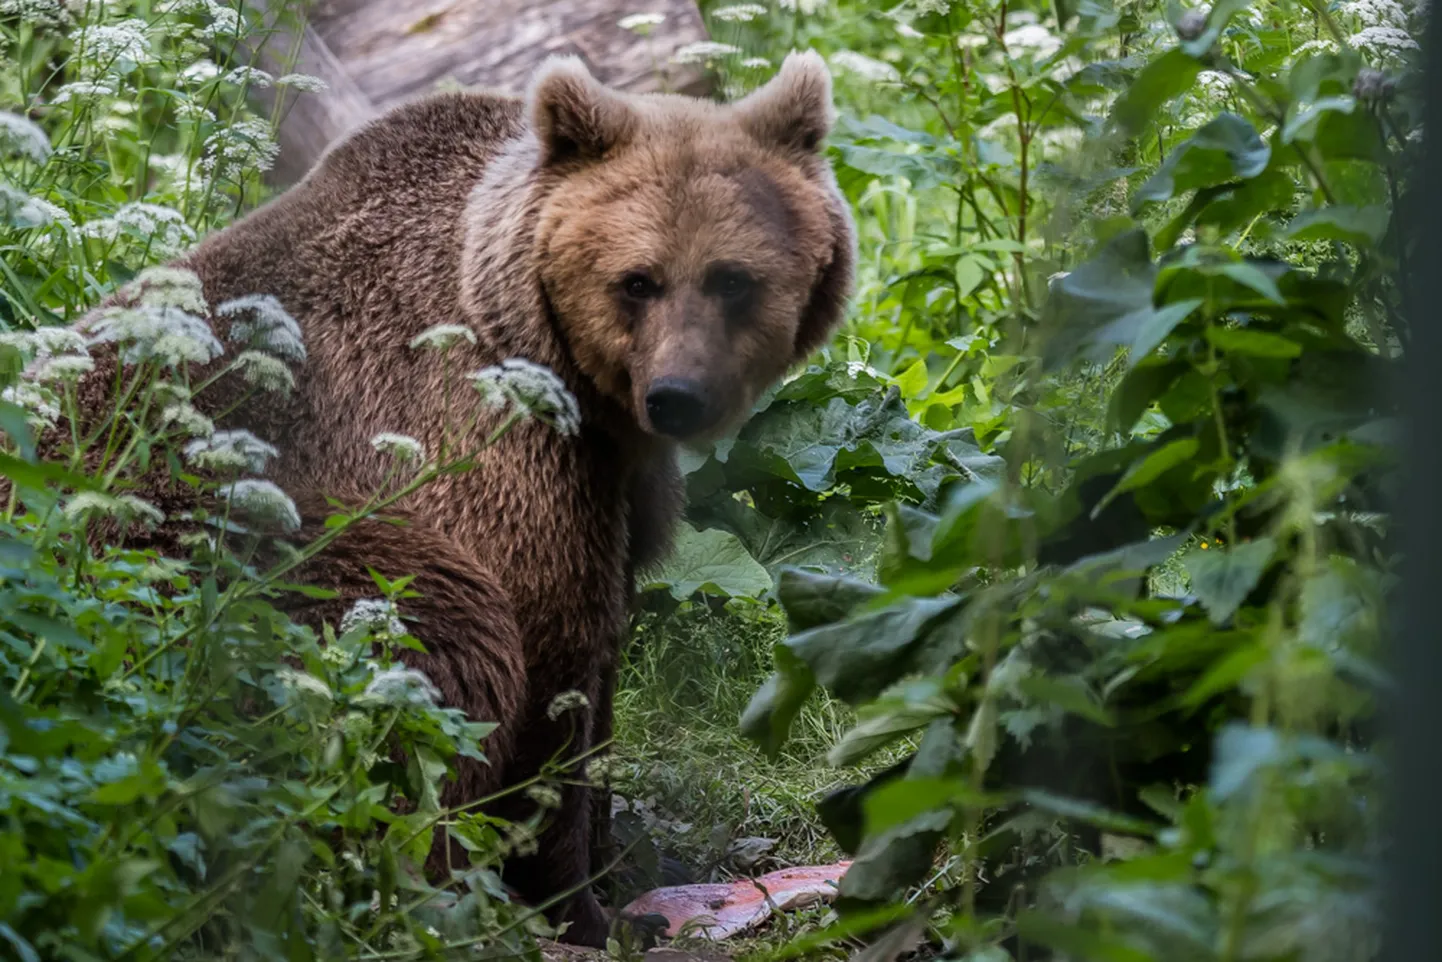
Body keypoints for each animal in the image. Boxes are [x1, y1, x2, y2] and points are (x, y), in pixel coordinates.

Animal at [25, 50, 853, 940]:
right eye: (638, 281)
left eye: (732, 280)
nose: (678, 396)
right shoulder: (492, 440)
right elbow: (549, 655)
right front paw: (583, 905)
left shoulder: (618, 482)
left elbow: (602, 665)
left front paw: (619, 864)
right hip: (196, 539)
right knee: (430, 627)